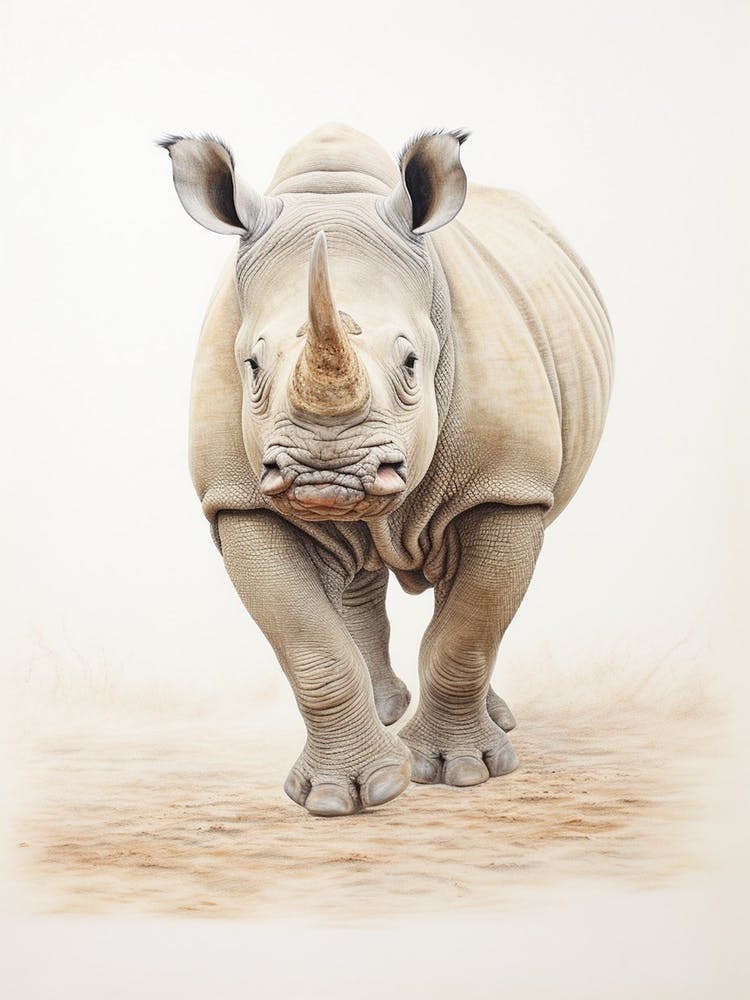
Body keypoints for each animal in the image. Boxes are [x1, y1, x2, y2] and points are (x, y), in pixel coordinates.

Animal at [160, 124, 613, 817]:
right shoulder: (239, 499)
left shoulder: (506, 487)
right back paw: (385, 713)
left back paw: (493, 723)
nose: (327, 473)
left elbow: (470, 627)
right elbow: (310, 648)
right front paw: (344, 796)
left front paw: (460, 772)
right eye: (253, 366)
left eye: (411, 362)